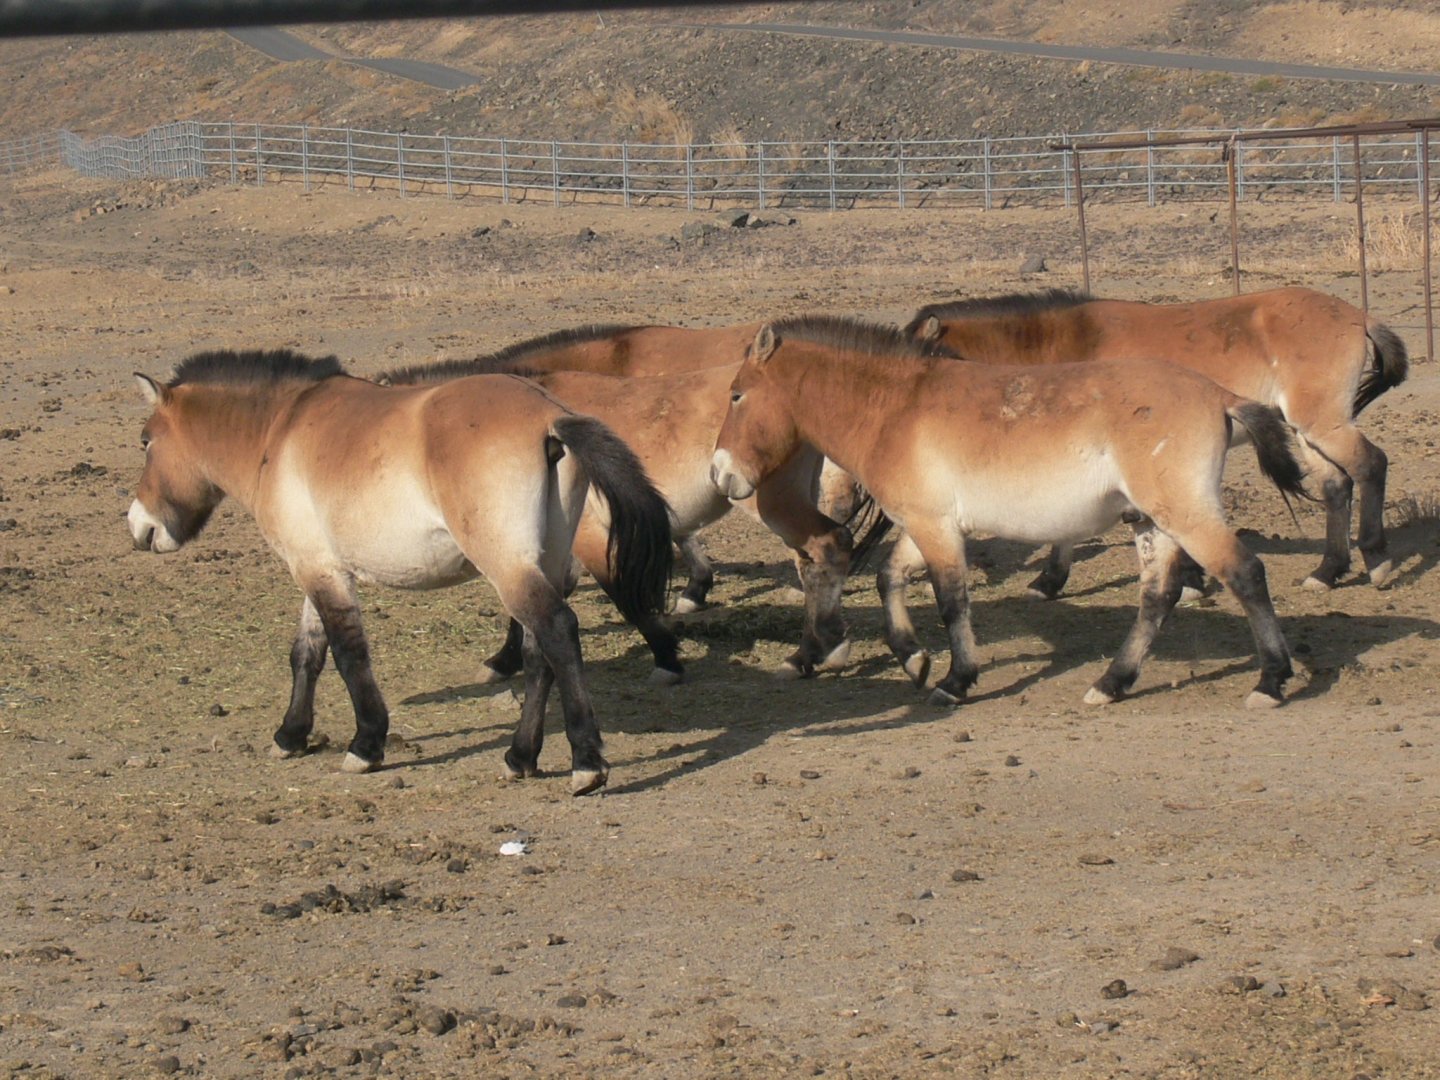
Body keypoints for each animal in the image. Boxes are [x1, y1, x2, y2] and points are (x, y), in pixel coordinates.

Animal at [127, 349, 673, 795]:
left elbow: (348, 654)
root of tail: (550, 420)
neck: (278, 432)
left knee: (557, 631)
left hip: (509, 567)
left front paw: (366, 744)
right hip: (545, 561)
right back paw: (520, 758)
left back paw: (587, 763)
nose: (139, 526)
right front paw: (290, 735)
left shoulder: (318, 573)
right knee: (540, 653)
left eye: (146, 441)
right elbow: (307, 653)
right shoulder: (319, 565)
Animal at [377, 359, 856, 683]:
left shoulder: (589, 537)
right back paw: (824, 646)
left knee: (827, 548)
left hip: (771, 503)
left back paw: (811, 652)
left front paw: (667, 658)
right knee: (814, 561)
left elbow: (622, 596)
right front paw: (504, 660)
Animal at [711, 317, 1307, 709]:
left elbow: (951, 601)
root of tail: (1218, 395)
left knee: (1245, 573)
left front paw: (956, 680)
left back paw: (1271, 681)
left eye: (737, 394)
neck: (896, 407)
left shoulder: (934, 528)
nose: (720, 475)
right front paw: (912, 659)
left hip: (1184, 515)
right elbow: (890, 578)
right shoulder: (928, 524)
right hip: (1151, 522)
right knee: (1157, 597)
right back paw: (1111, 683)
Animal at [906, 287, 1408, 595]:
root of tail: (1358, 316)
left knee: (1371, 465)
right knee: (1336, 486)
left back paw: (1377, 561)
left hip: (1322, 424)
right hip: (1306, 432)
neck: (1068, 345)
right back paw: (1327, 572)